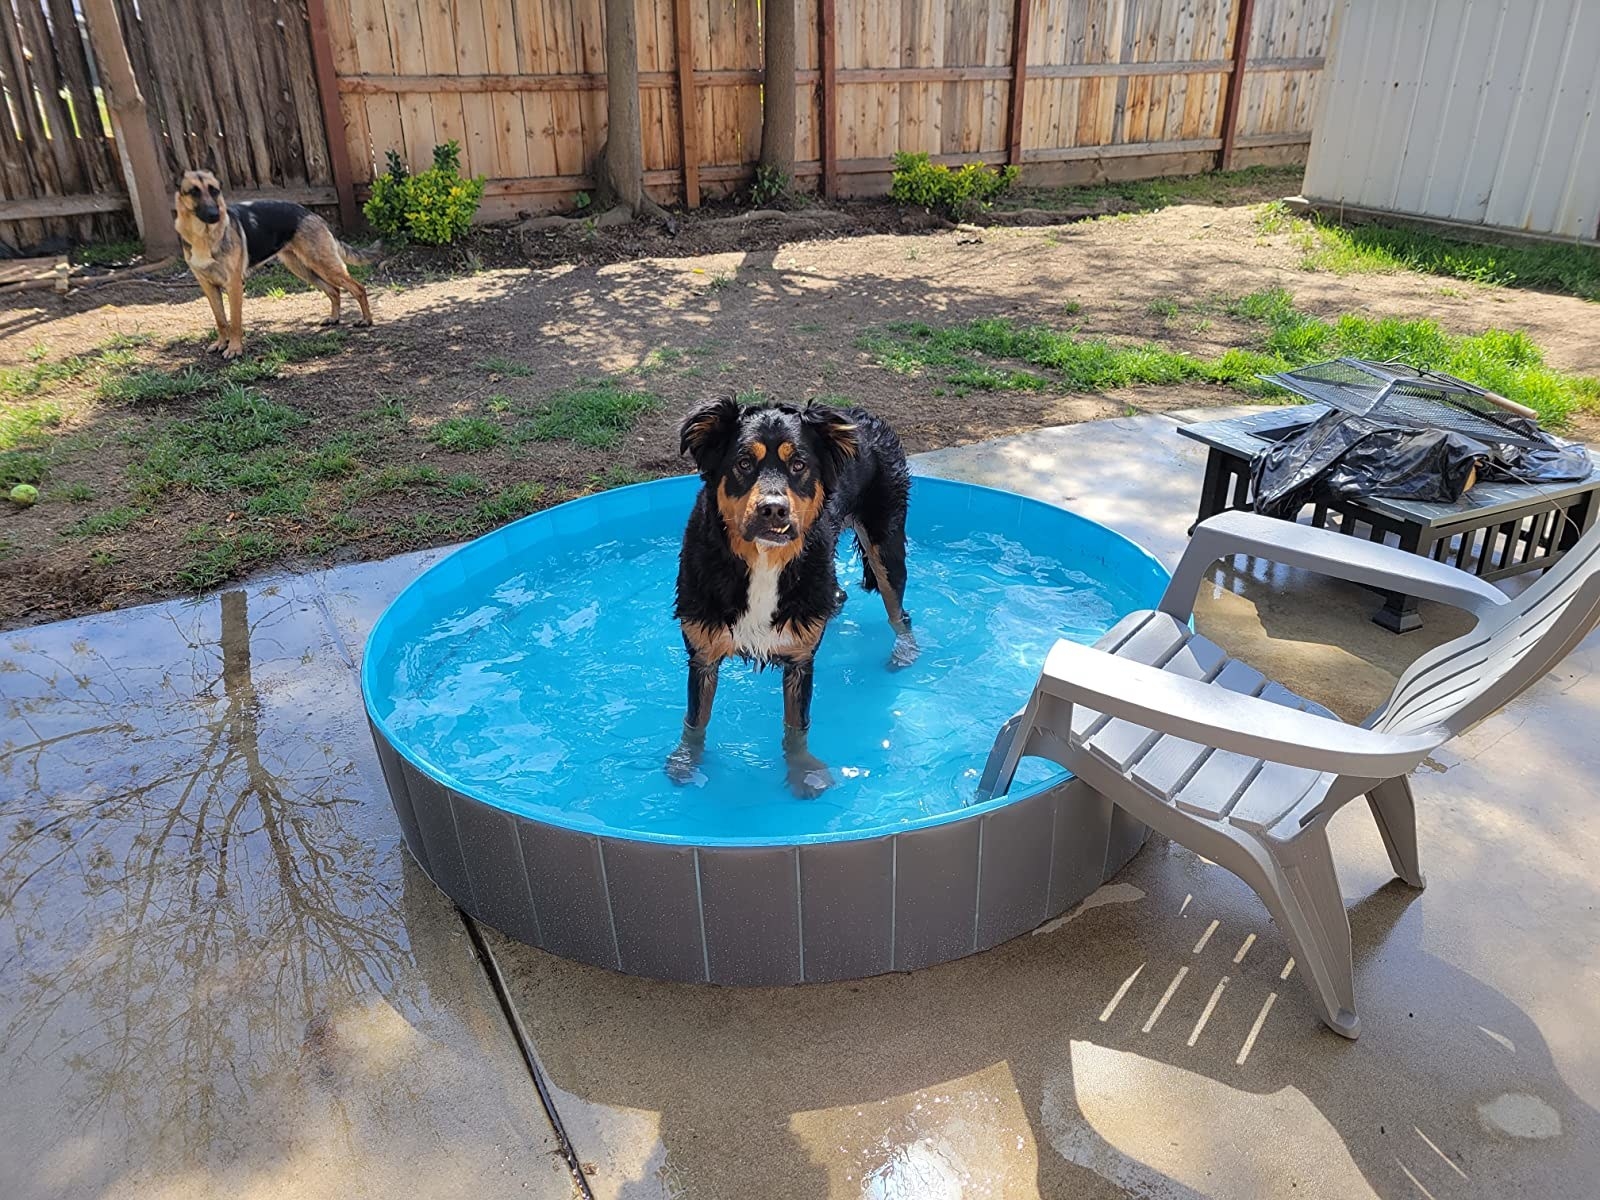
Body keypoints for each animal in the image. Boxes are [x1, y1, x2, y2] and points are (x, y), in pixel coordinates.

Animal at [173, 169, 372, 360]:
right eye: (194, 191)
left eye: (214, 190)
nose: (215, 215)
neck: (203, 236)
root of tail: (310, 213)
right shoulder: (208, 286)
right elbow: (220, 319)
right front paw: (222, 343)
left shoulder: (234, 285)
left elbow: (235, 321)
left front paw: (235, 349)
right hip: (303, 269)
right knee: (334, 290)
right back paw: (334, 318)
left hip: (323, 265)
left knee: (358, 288)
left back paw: (367, 320)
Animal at [665, 400, 921, 803]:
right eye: (743, 463)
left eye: (799, 464)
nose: (773, 509)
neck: (763, 560)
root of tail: (861, 414)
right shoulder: (703, 648)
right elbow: (696, 719)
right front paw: (687, 760)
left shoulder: (800, 656)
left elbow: (796, 725)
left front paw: (803, 772)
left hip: (885, 542)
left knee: (899, 611)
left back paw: (905, 651)